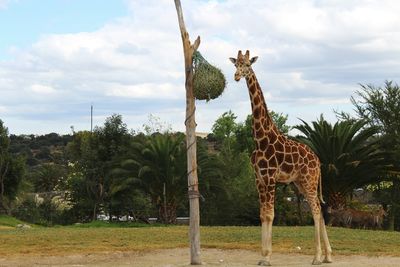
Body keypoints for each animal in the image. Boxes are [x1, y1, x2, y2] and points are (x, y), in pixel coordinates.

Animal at [230, 50, 332, 266]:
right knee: (319, 210)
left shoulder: (270, 178)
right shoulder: (259, 179)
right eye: (235, 65)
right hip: (300, 183)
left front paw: (267, 256)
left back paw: (317, 256)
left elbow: (270, 215)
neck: (260, 138)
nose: (236, 76)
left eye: (247, 65)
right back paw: (328, 255)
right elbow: (262, 215)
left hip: (309, 180)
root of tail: (318, 161)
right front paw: (262, 256)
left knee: (316, 210)